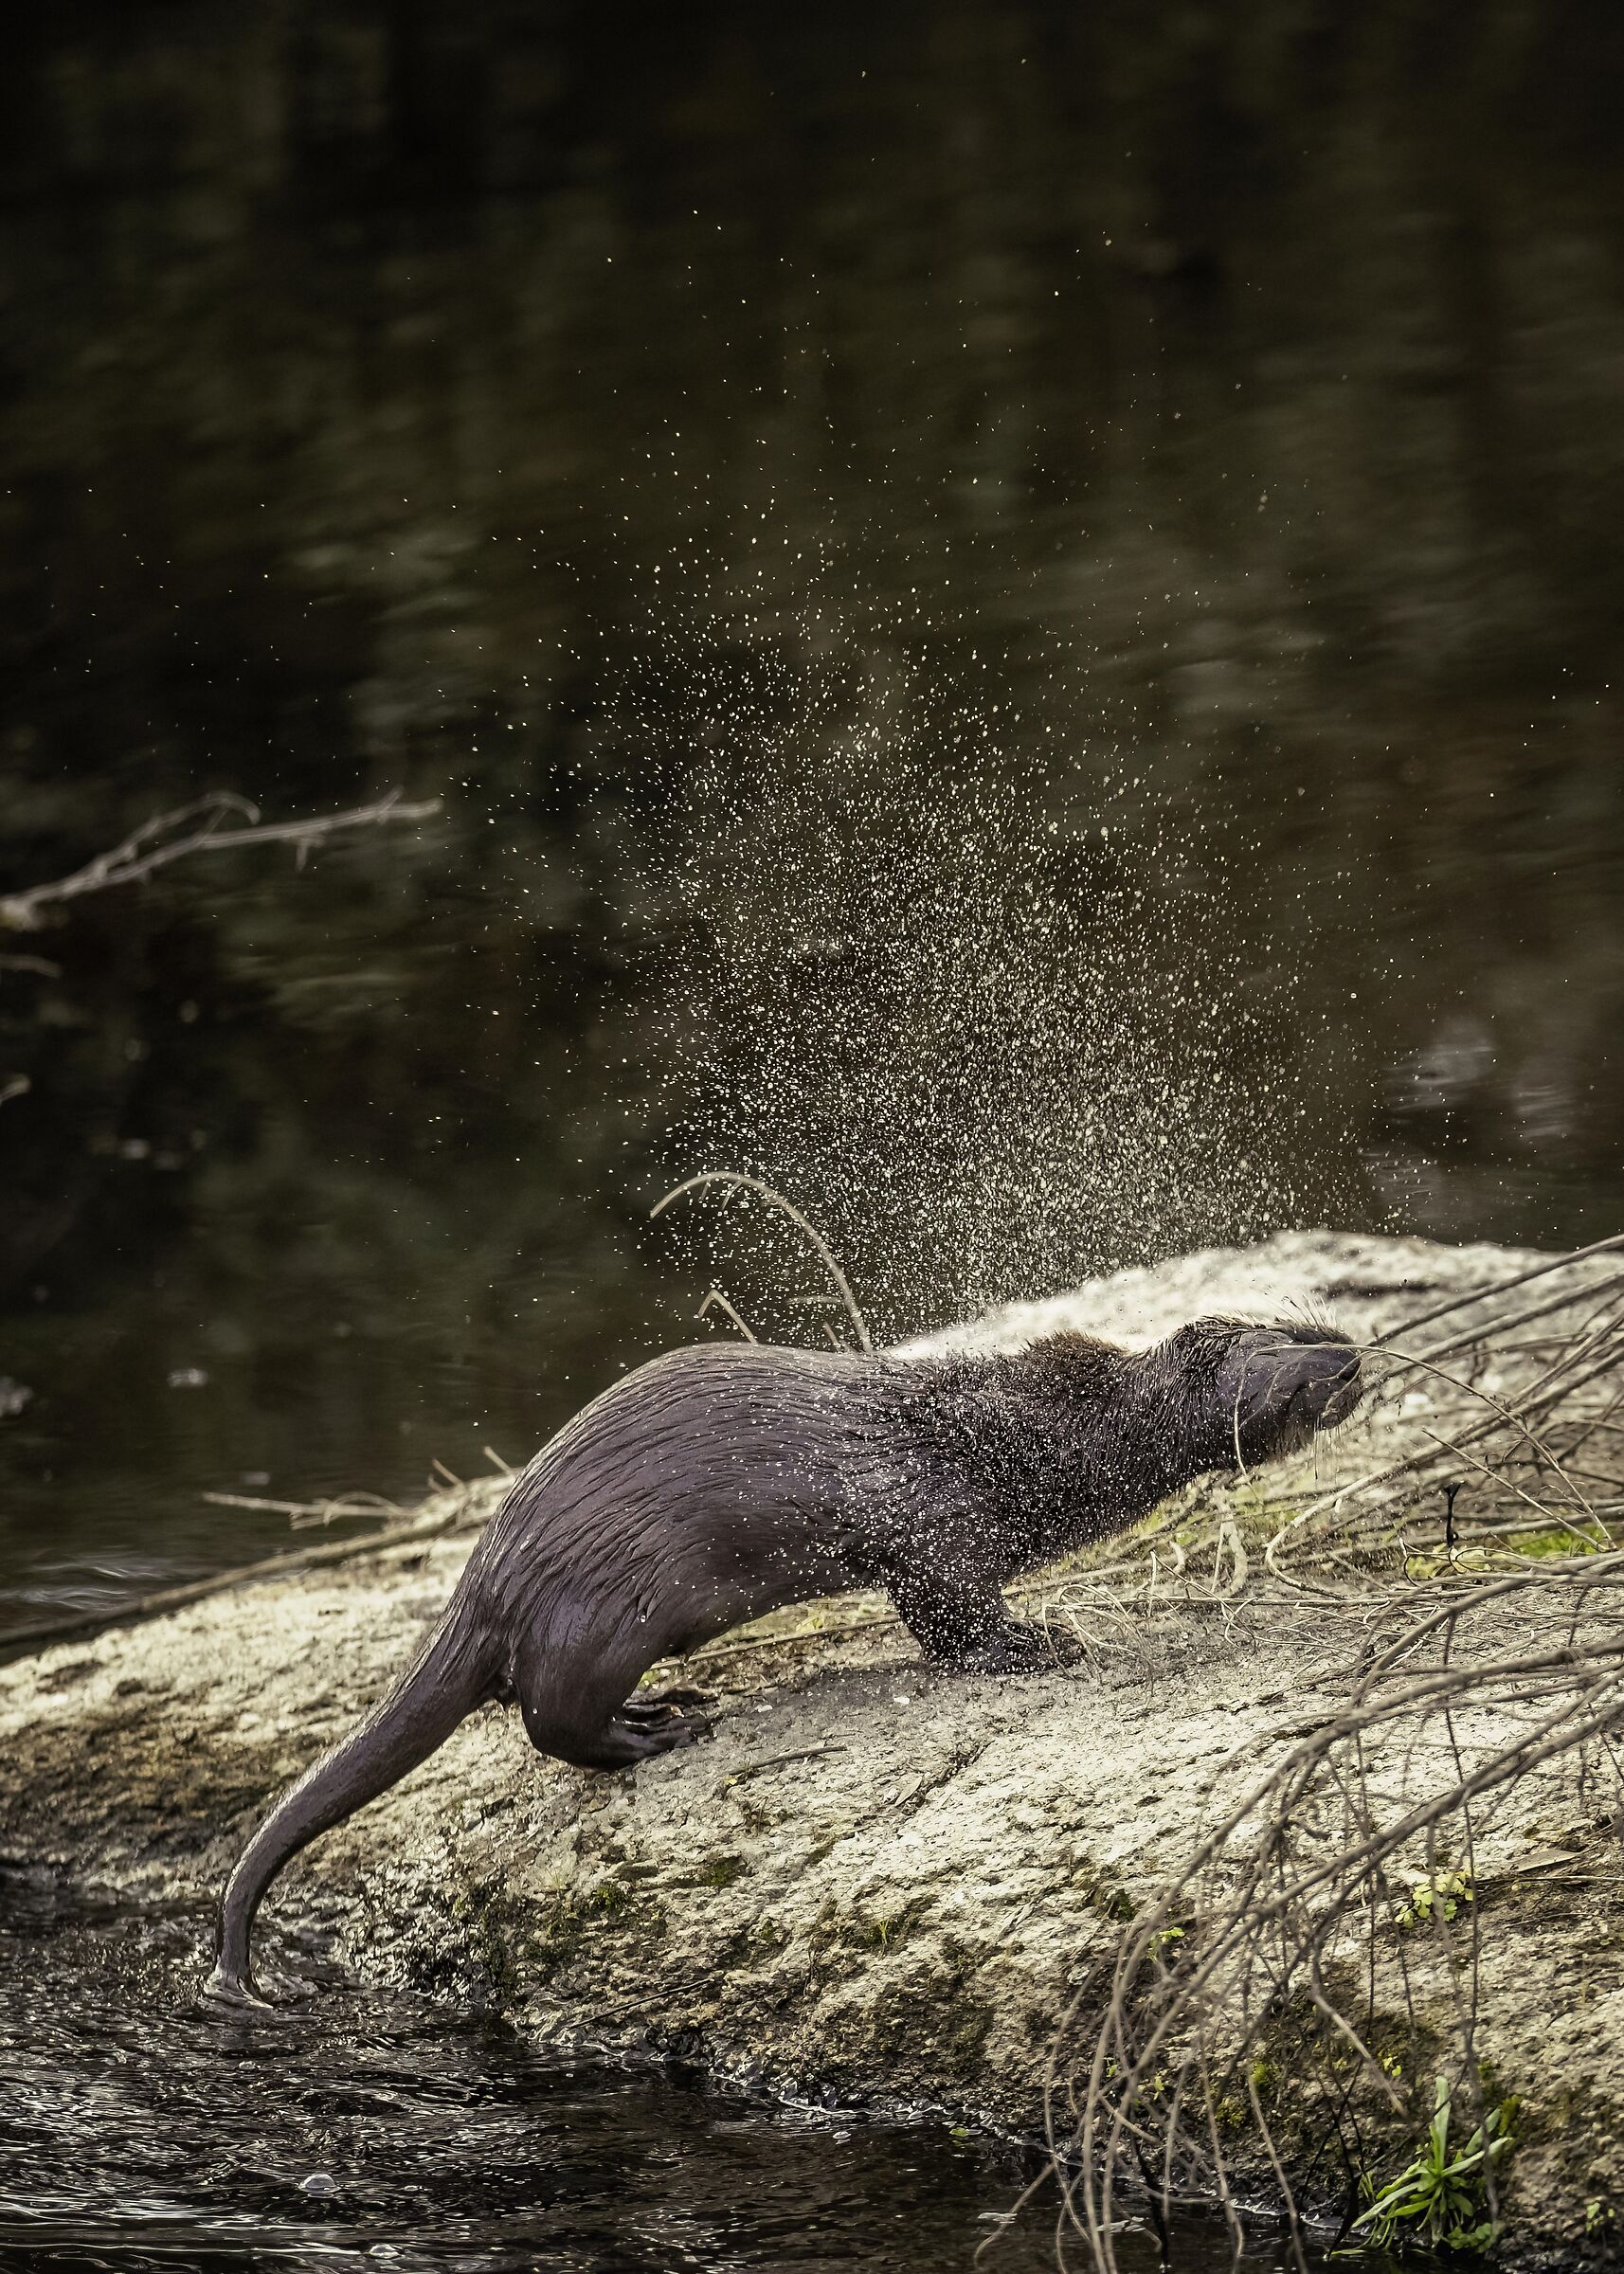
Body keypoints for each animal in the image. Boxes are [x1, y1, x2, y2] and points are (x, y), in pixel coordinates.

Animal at [208, 1317, 1360, 2004]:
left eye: (1309, 1319)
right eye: (1295, 1352)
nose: (1353, 1355)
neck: (1040, 1440)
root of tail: (491, 1566)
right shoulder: (931, 1530)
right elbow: (951, 1621)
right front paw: (1043, 1644)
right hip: (605, 1610)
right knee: (550, 1719)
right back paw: (666, 1726)